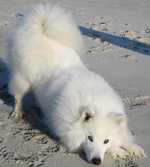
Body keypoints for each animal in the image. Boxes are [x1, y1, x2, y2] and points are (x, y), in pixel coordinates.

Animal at [6, 3, 145, 165]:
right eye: (90, 138)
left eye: (106, 140)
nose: (97, 161)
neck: (95, 101)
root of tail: (39, 26)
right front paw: (118, 151)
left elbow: (125, 137)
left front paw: (133, 148)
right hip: (23, 78)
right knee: (18, 96)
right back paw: (17, 112)